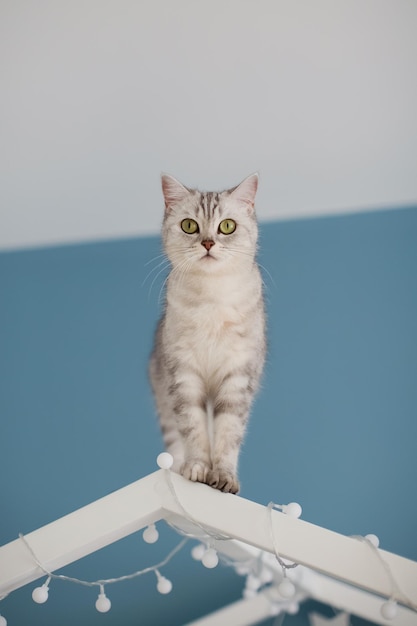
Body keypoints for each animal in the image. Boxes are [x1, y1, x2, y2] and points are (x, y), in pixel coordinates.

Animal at [149, 172, 264, 492]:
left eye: (227, 226)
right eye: (189, 225)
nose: (209, 243)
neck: (212, 299)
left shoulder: (238, 377)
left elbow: (228, 434)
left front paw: (223, 477)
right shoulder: (183, 375)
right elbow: (193, 428)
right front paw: (197, 469)